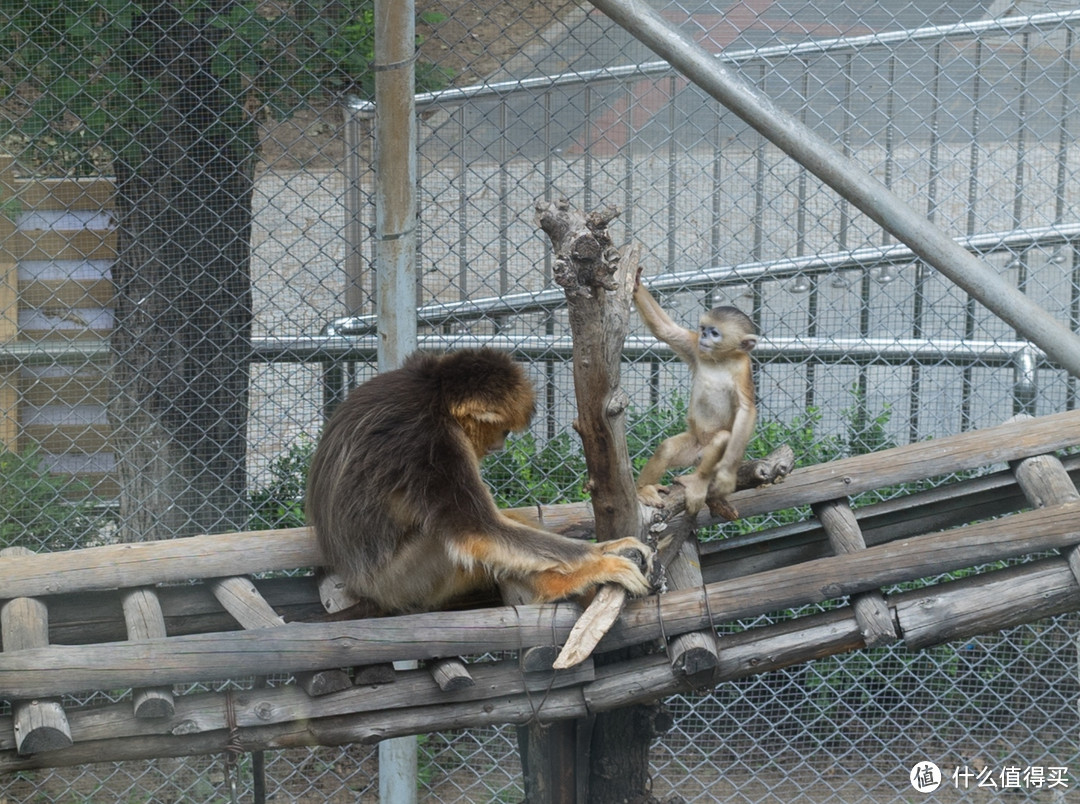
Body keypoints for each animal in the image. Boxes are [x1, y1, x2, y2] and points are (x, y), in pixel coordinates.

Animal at [630, 274, 760, 514]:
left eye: (714, 333)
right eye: (703, 329)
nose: (704, 337)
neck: (720, 360)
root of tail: (699, 451)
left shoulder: (743, 370)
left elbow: (747, 410)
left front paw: (727, 475)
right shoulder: (694, 347)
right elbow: (665, 329)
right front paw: (635, 281)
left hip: (703, 455)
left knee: (722, 438)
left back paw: (698, 482)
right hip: (691, 446)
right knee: (667, 448)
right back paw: (644, 489)